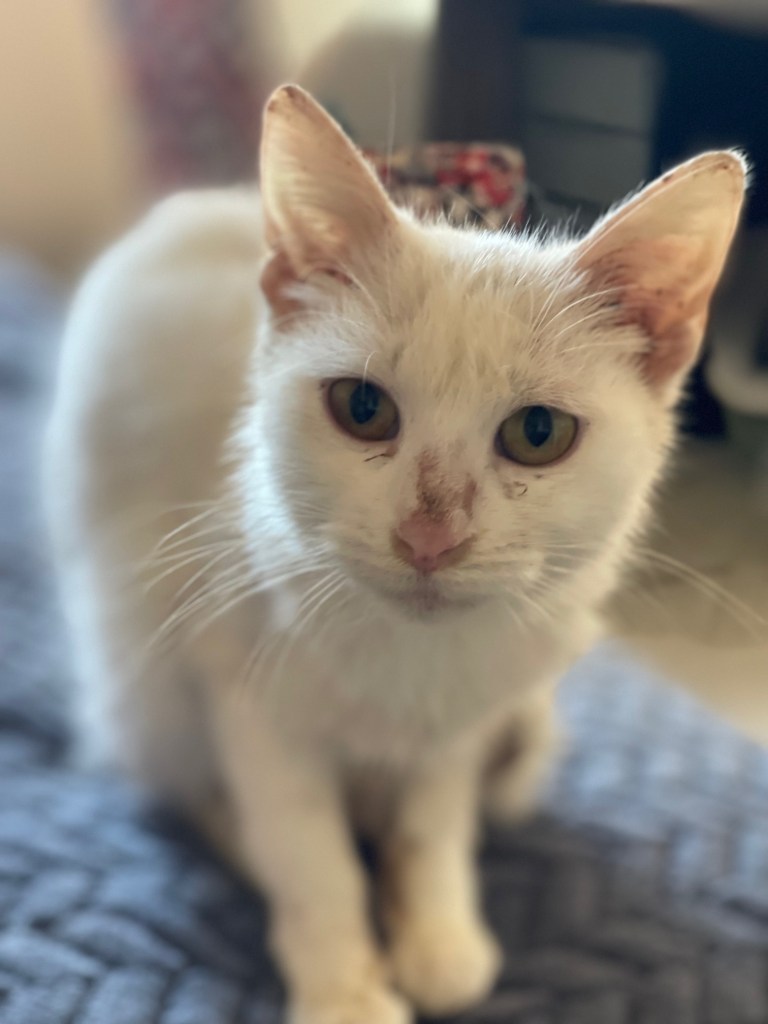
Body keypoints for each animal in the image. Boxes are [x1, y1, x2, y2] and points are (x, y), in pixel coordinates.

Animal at [45, 84, 745, 1024]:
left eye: (538, 433)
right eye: (363, 407)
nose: (430, 535)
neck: (412, 659)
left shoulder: (463, 719)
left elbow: (432, 822)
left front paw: (437, 933)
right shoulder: (247, 694)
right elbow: (307, 852)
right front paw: (344, 983)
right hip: (136, 663)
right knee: (179, 777)